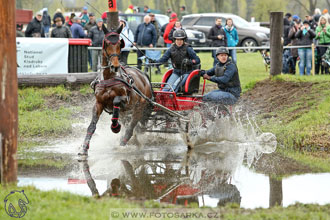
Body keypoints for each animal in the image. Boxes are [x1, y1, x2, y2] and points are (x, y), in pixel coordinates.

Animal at [79, 23, 153, 156]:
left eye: (119, 44)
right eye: (107, 43)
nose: (115, 66)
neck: (109, 78)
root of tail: (144, 76)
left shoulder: (125, 100)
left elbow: (116, 101)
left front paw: (115, 127)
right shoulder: (98, 103)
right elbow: (92, 126)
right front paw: (84, 148)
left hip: (139, 107)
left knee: (130, 128)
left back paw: (123, 143)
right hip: (125, 113)